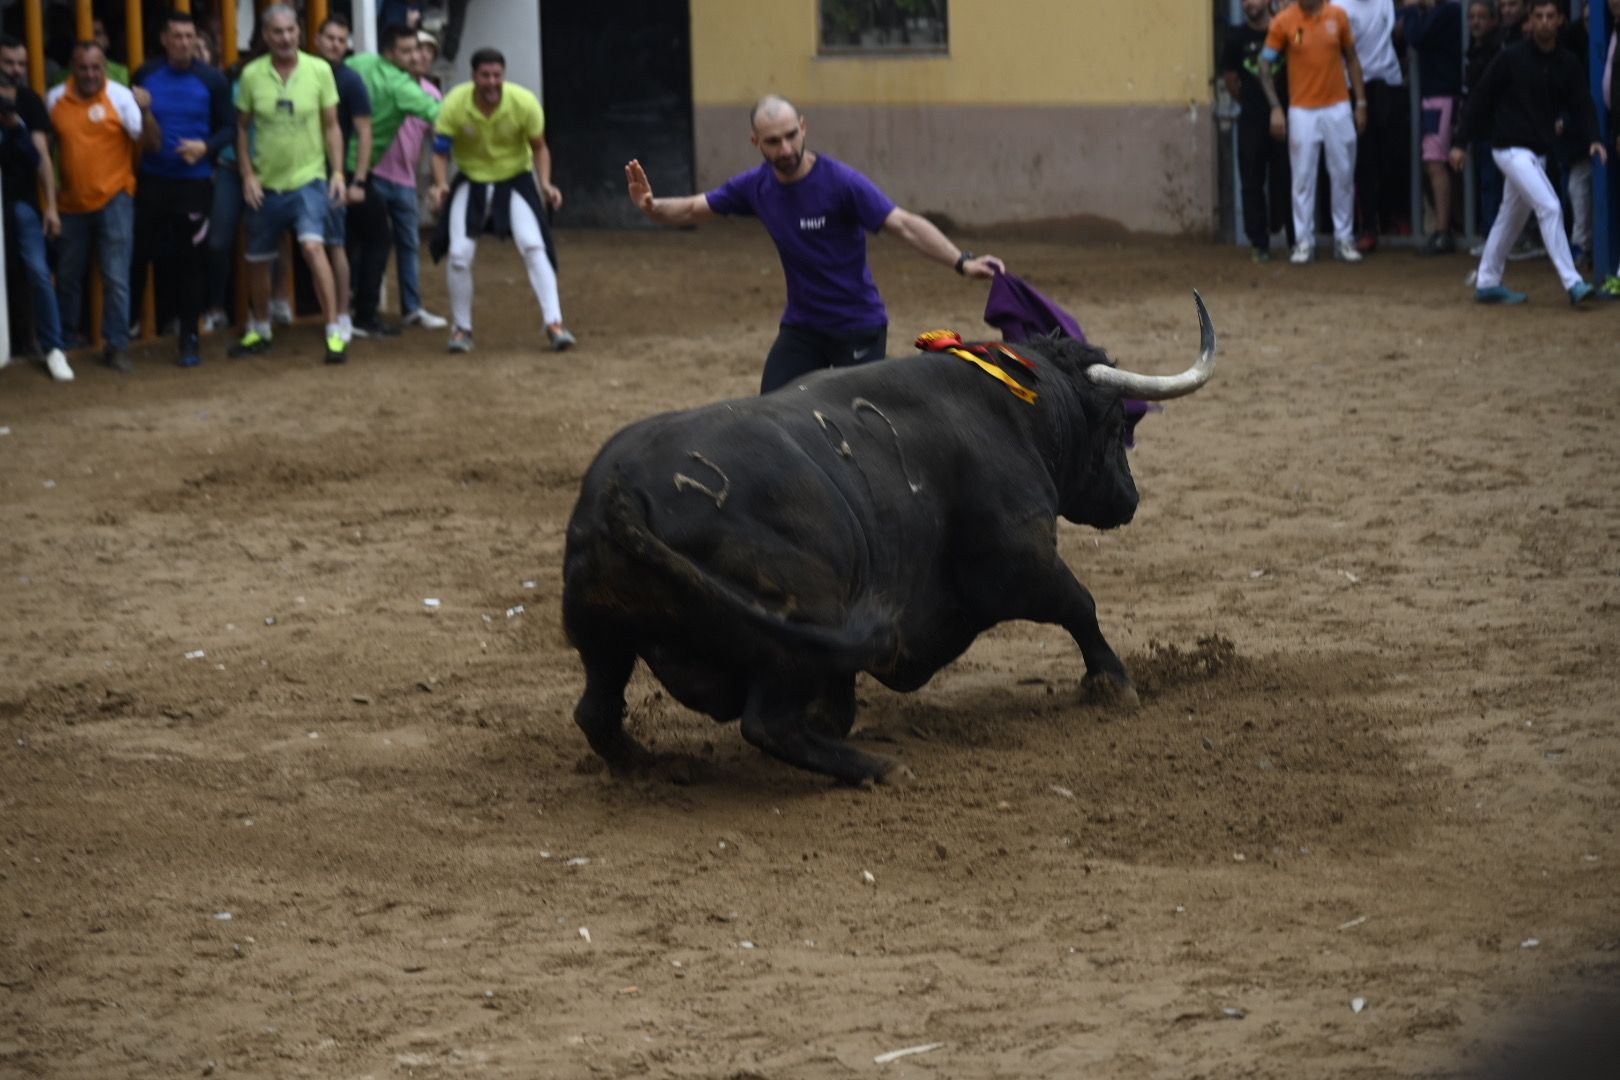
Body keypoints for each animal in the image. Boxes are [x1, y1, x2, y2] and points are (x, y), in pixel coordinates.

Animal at [563, 296, 1211, 786]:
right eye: (1117, 425)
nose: (1130, 499)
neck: (1018, 410)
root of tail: (624, 490)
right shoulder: (1020, 559)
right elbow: (1080, 605)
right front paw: (1113, 684)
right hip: (794, 621)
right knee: (767, 723)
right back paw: (876, 768)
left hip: (603, 634)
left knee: (597, 711)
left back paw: (648, 763)